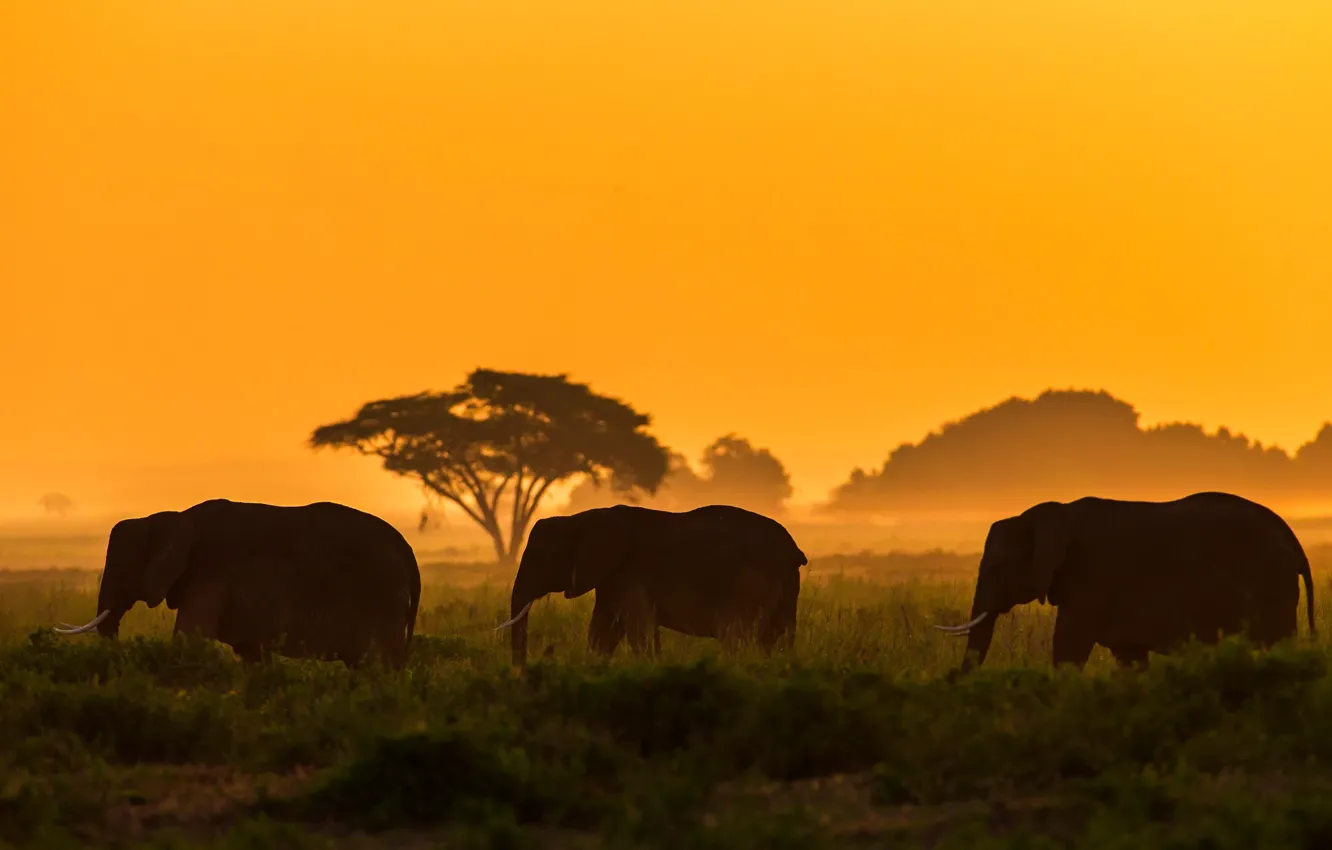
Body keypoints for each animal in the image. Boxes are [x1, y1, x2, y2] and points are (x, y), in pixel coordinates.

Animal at [54, 499, 422, 669]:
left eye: (124, 566)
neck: (169, 516)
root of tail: (410, 554)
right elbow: (251, 653)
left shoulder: (210, 574)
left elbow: (190, 637)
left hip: (381, 596)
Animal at [495, 504, 807, 666]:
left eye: (541, 559)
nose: (522, 672)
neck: (580, 518)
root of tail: (793, 550)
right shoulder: (612, 576)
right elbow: (603, 632)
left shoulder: (629, 572)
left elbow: (636, 629)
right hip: (786, 585)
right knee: (779, 637)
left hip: (749, 583)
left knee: (736, 636)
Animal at [935, 491, 1316, 672]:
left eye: (997, 567)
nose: (950, 677)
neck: (1049, 513)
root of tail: (1295, 542)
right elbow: (1130, 658)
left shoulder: (1091, 578)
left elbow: (1069, 648)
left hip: (1271, 585)